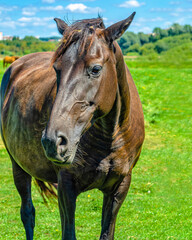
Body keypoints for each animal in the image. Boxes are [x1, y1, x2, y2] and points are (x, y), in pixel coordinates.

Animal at [0, 12, 144, 240]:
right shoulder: (66, 186)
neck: (108, 138)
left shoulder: (120, 187)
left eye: (96, 69)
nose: (53, 141)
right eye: (56, 69)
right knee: (27, 213)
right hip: (18, 165)